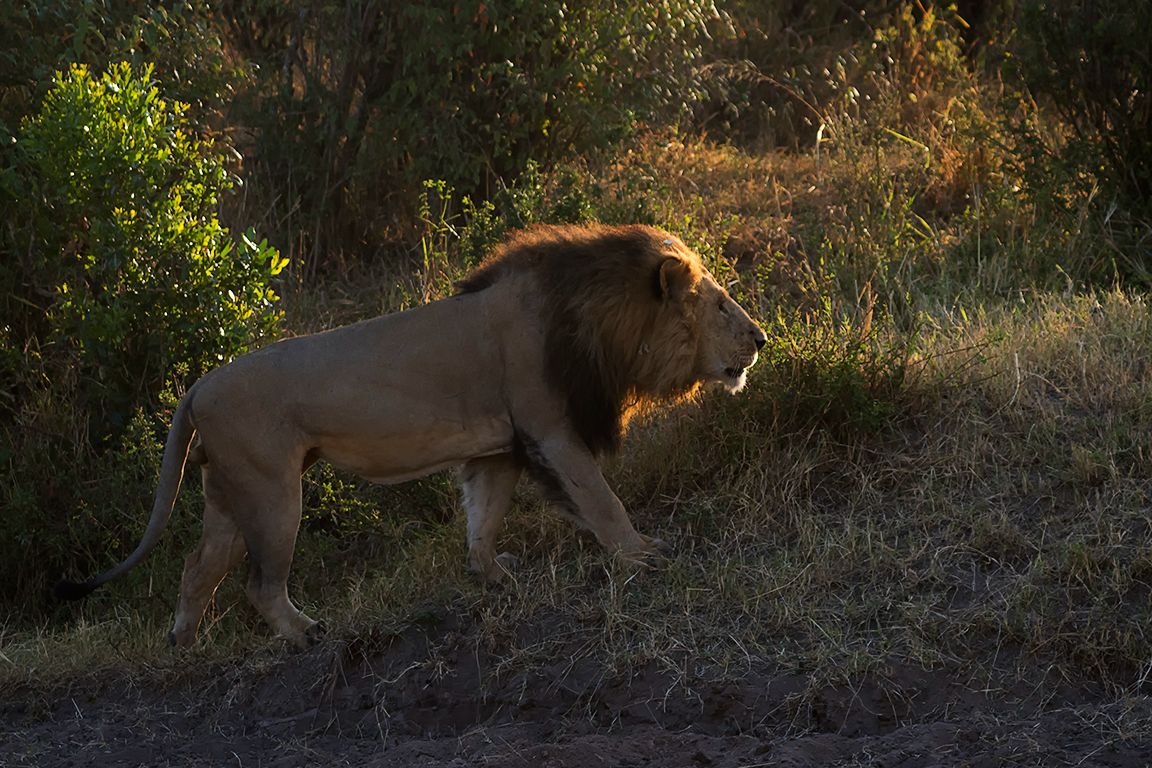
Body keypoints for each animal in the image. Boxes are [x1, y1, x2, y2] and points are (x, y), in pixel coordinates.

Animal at [56, 224, 766, 648]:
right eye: (720, 304)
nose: (761, 339)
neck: (598, 320)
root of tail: (197, 387)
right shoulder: (551, 429)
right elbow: (600, 499)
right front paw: (642, 554)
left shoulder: (499, 447)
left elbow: (484, 519)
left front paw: (493, 578)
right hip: (272, 492)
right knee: (258, 583)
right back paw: (307, 632)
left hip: (230, 494)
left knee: (197, 567)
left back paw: (183, 642)